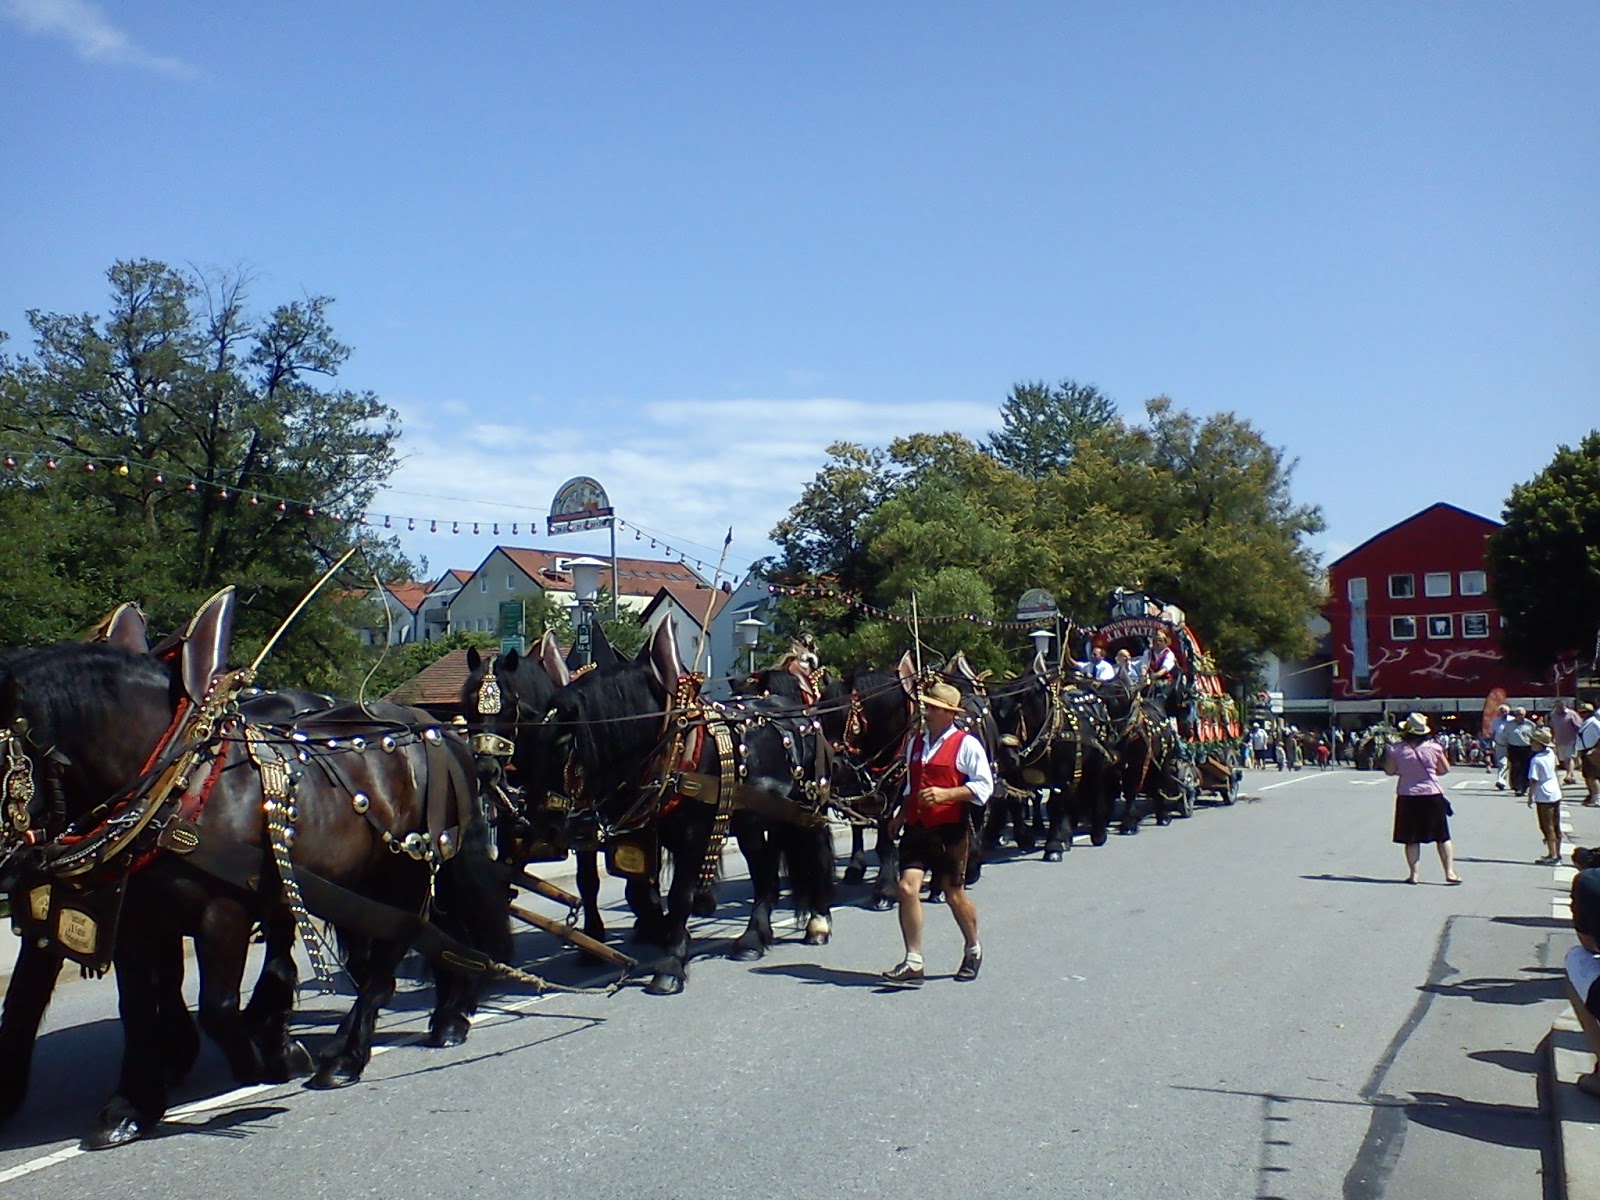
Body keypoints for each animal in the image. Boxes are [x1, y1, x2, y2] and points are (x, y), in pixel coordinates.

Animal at [0, 598, 505, 1152]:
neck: (178, 780)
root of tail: (432, 727)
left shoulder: (223, 913)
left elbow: (218, 1005)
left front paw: (274, 1057)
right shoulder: (133, 920)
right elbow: (136, 1008)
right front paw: (129, 1106)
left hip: (407, 867)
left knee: (393, 950)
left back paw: (346, 1054)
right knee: (429, 934)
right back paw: (447, 1015)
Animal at [521, 620, 832, 998]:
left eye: (564, 741)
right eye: (530, 739)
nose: (541, 824)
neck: (672, 745)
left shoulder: (694, 836)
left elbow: (680, 894)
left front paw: (670, 964)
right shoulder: (647, 833)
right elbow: (633, 888)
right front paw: (658, 934)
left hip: (807, 805)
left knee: (815, 849)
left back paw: (817, 922)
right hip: (754, 818)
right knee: (764, 868)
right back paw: (752, 937)